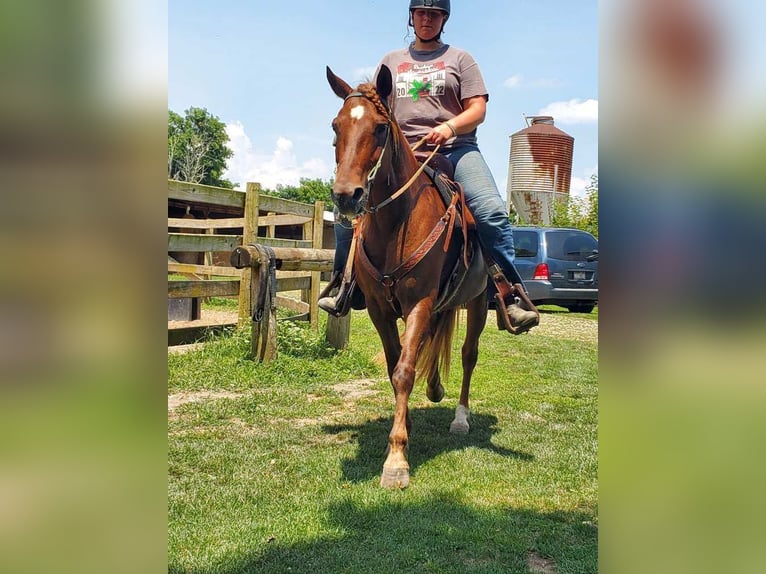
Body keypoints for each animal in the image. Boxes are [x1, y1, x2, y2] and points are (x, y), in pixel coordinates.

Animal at [326, 64, 489, 488]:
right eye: (336, 125)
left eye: (381, 127)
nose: (346, 195)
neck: (395, 224)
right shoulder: (379, 309)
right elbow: (395, 365)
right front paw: (407, 427)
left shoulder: (419, 303)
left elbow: (403, 371)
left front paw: (396, 458)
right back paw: (434, 389)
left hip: (479, 302)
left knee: (468, 354)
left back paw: (461, 417)